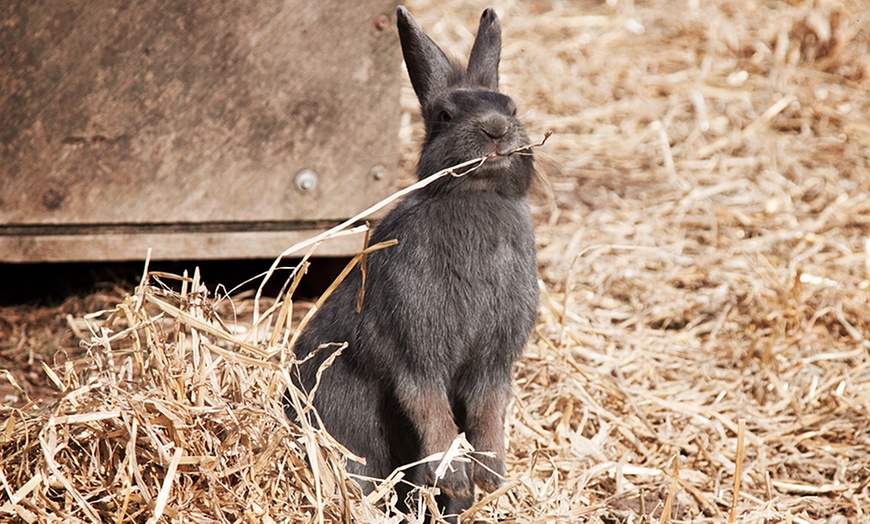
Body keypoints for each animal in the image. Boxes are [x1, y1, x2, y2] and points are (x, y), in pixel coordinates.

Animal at [286, 5, 540, 520]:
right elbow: (429, 408)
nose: (497, 131)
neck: (476, 196)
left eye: (511, 106)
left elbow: (488, 412)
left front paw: (490, 476)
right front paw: (458, 478)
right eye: (444, 115)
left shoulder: (492, 363)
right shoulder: (416, 353)